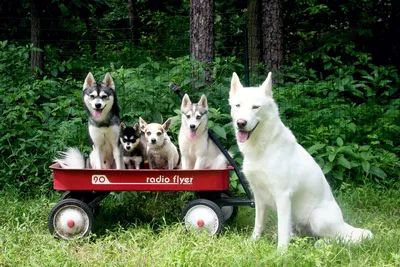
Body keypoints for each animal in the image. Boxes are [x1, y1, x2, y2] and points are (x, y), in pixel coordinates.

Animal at [230, 73, 374, 249]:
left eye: (255, 107)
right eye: (238, 105)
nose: (241, 123)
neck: (263, 147)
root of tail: (343, 224)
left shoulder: (283, 196)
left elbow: (282, 228)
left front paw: (281, 251)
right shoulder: (259, 196)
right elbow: (259, 223)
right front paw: (253, 241)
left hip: (317, 216)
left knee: (339, 238)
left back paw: (321, 243)